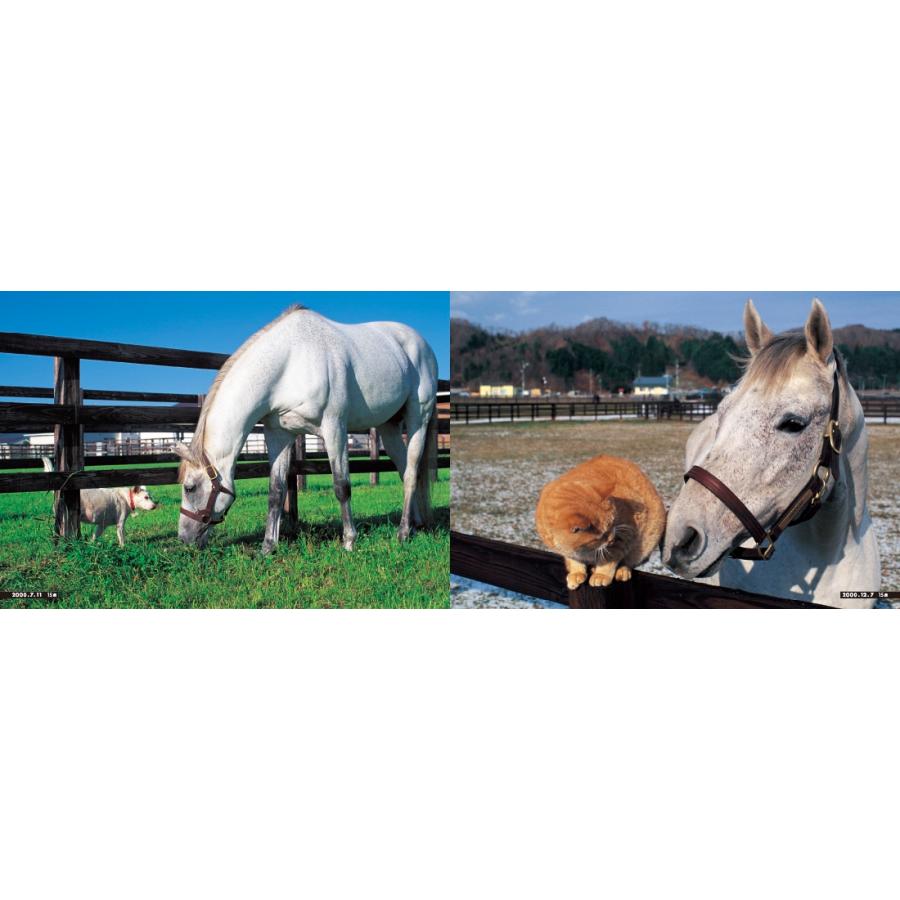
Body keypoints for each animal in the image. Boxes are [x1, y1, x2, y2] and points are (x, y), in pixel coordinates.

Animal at [174, 304, 439, 554]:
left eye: (189, 487)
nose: (184, 538)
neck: (290, 363)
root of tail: (421, 343)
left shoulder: (334, 429)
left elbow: (341, 486)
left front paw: (349, 541)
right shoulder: (278, 435)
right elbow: (276, 491)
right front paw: (267, 547)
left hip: (418, 418)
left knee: (411, 473)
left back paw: (402, 533)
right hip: (388, 426)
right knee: (405, 470)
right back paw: (414, 525)